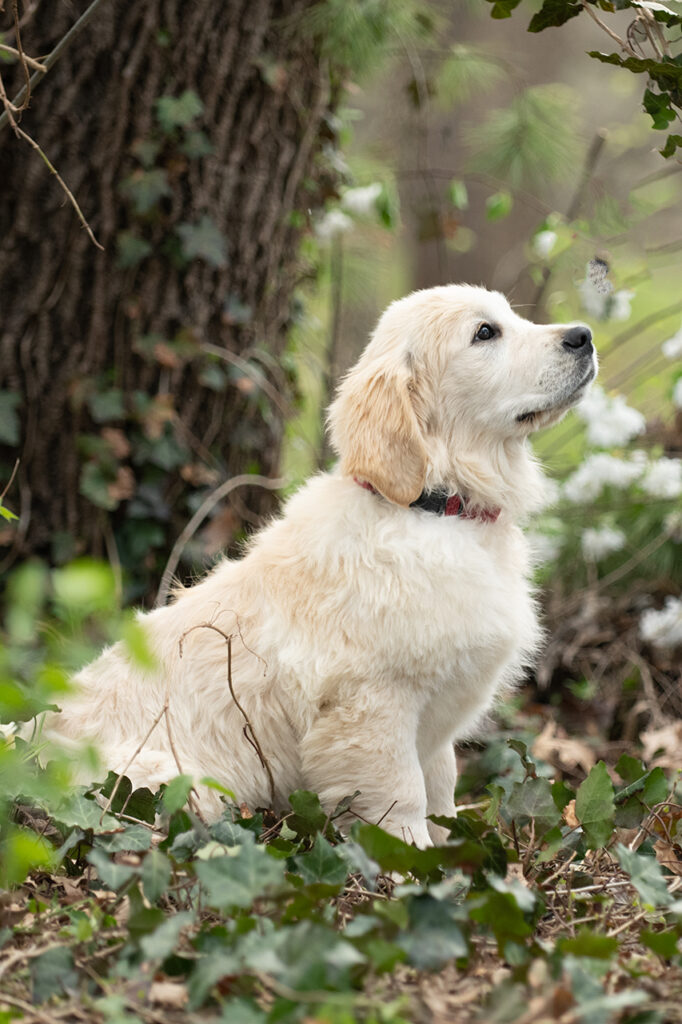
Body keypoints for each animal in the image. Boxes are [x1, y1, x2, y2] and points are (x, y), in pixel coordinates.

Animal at [47, 284, 593, 843]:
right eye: (485, 333)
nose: (583, 336)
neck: (434, 508)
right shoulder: (372, 704)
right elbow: (403, 795)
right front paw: (413, 856)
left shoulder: (434, 719)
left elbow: (441, 783)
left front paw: (452, 847)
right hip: (166, 778)